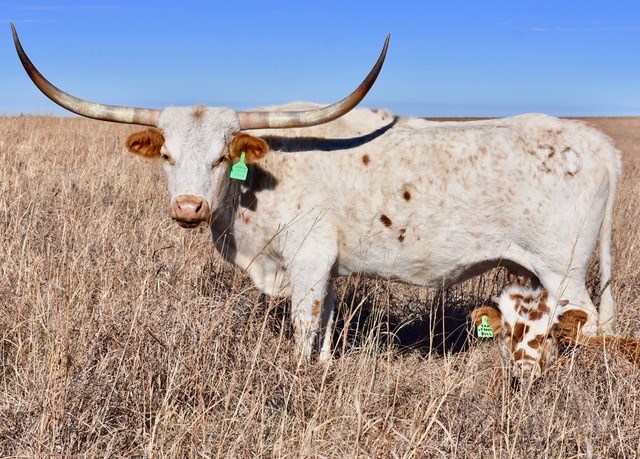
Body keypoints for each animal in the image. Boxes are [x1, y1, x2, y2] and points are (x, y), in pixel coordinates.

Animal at [11, 24, 621, 363]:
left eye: (221, 157)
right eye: (167, 156)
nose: (188, 207)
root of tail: (601, 145)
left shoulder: (306, 261)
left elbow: (305, 330)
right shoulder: (326, 268)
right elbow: (326, 330)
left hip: (564, 271)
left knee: (588, 324)